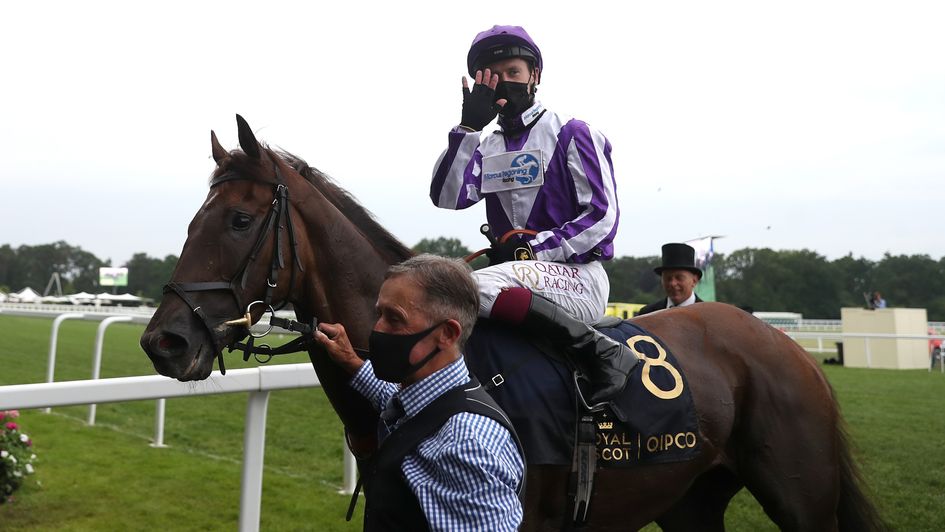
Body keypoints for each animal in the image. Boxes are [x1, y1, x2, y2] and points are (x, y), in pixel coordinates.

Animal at [140, 116, 884, 532]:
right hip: (687, 500)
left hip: (801, 497)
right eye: (192, 222)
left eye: (239, 220)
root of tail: (786, 347)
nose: (162, 341)